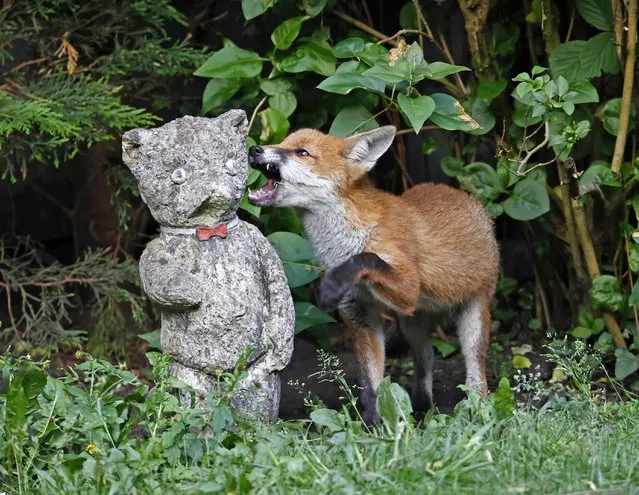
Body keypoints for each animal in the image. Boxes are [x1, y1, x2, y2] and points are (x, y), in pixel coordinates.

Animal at [248, 126, 502, 424]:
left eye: (302, 152)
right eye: (283, 141)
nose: (254, 149)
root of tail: (471, 200)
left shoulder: (408, 288)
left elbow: (368, 259)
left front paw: (332, 284)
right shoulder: (361, 315)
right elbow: (371, 384)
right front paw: (373, 425)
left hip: (472, 318)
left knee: (477, 375)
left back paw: (476, 415)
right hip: (411, 323)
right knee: (427, 355)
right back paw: (423, 405)